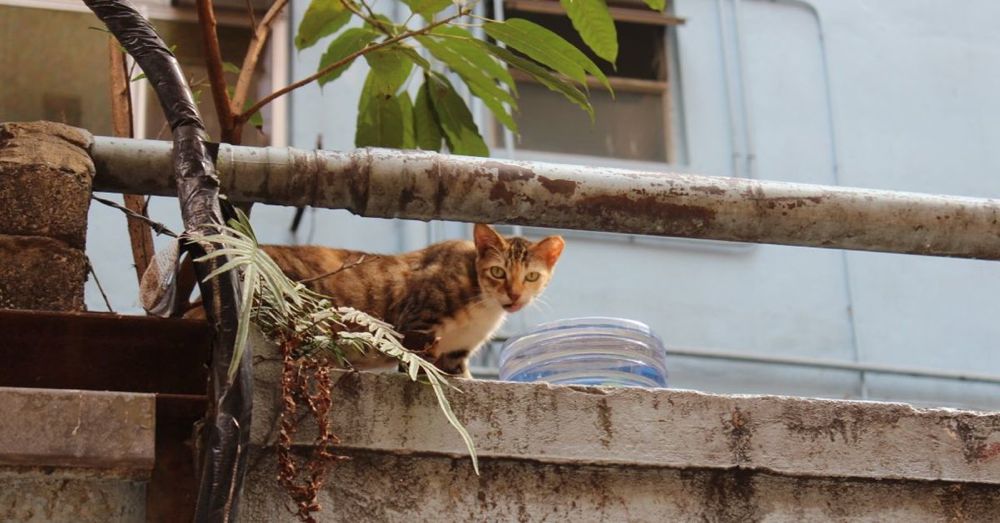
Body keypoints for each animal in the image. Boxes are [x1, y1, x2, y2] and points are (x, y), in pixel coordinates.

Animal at [262, 224, 568, 376]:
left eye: (531, 276)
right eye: (497, 272)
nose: (514, 294)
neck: (483, 308)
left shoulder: (456, 354)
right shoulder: (418, 327)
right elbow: (419, 366)